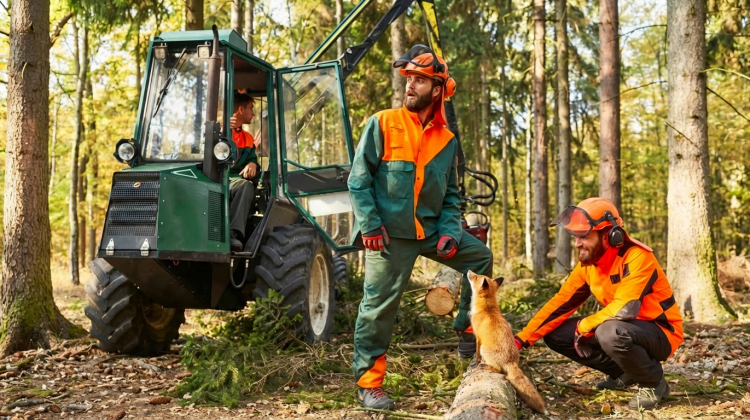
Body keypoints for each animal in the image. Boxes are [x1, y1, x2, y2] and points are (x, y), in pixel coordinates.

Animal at [467, 270, 547, 414]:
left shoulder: (478, 338)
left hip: (485, 349)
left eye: (476, 277)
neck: (487, 308)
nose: (469, 271)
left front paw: (475, 365)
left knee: (499, 370)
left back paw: (486, 366)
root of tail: (511, 361)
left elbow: (476, 355)